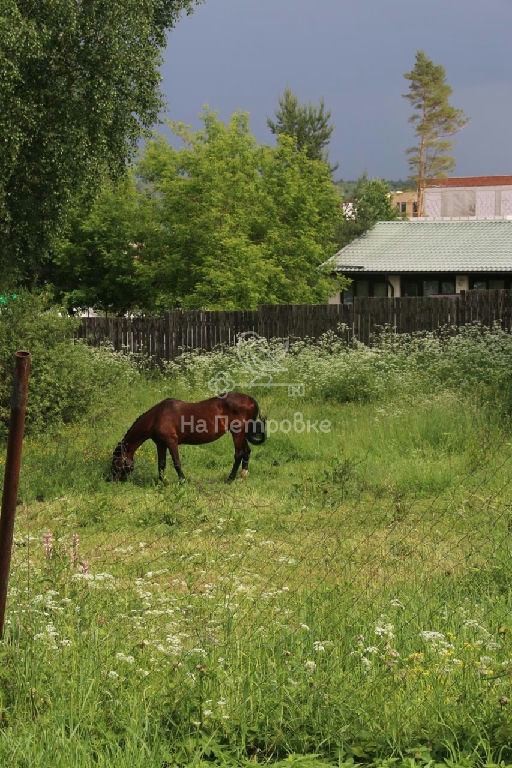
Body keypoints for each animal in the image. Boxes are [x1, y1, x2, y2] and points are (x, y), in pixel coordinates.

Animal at [110, 392, 266, 484]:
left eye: (115, 462)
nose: (111, 480)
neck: (157, 417)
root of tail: (250, 399)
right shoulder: (160, 444)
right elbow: (161, 464)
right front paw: (162, 482)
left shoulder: (171, 442)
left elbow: (176, 463)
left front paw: (183, 481)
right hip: (242, 433)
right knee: (246, 451)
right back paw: (242, 476)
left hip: (237, 432)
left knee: (239, 453)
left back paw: (230, 479)